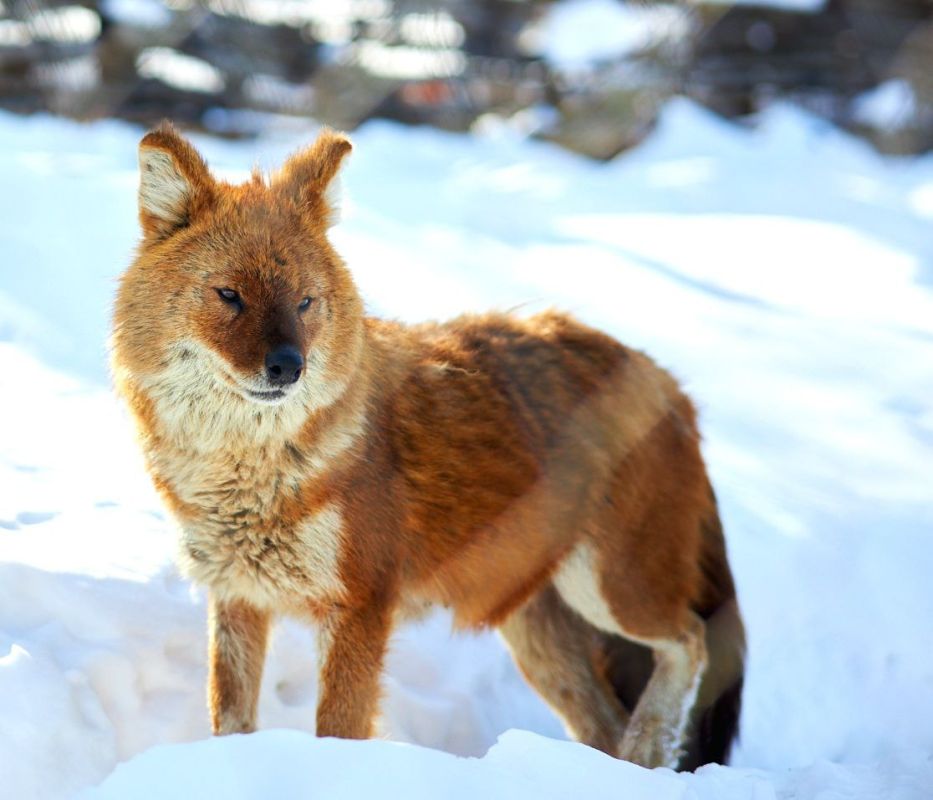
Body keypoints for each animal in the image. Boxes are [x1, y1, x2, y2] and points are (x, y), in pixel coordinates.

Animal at [113, 123, 748, 768]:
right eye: (229, 295)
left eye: (305, 302)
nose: (288, 366)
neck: (244, 473)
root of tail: (668, 383)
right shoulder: (237, 596)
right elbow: (231, 721)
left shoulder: (360, 606)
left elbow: (338, 728)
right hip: (540, 635)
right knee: (603, 722)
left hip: (609, 587)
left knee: (692, 640)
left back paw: (647, 744)